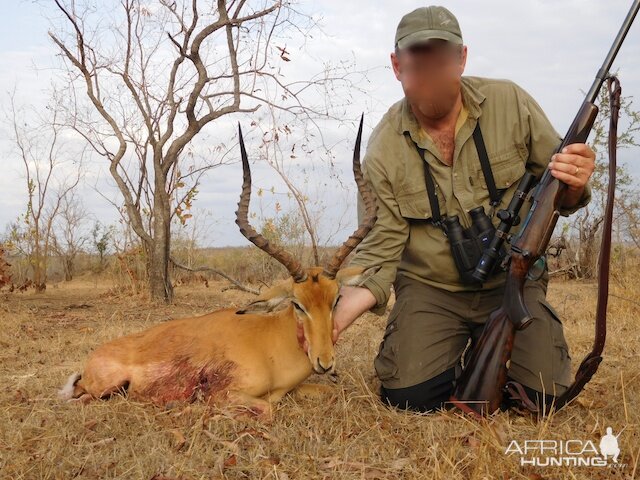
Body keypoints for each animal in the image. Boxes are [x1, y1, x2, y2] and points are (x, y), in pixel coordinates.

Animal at [58, 118, 378, 418]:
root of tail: (91, 361)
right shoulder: (229, 393)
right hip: (105, 389)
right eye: (298, 304)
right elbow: (266, 410)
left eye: (336, 300)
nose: (325, 362)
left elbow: (330, 393)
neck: (271, 343)